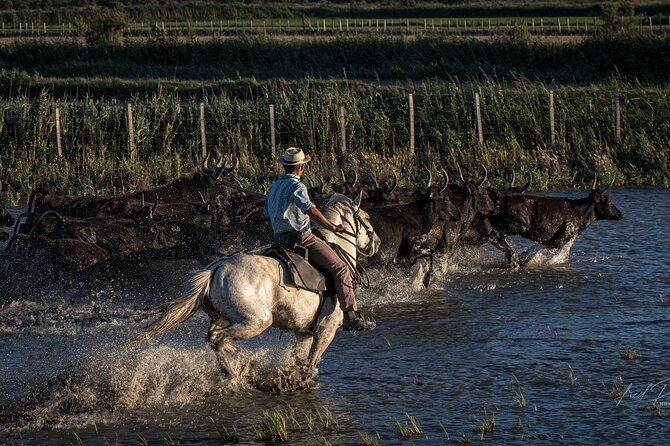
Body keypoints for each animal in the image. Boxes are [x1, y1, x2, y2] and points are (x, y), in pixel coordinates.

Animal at [131, 195, 380, 386]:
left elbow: (301, 361)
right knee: (219, 340)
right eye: (367, 219)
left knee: (213, 339)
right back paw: (236, 371)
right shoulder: (326, 329)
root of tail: (216, 269)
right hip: (257, 321)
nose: (376, 243)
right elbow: (309, 364)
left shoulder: (304, 333)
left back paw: (244, 362)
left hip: (224, 318)